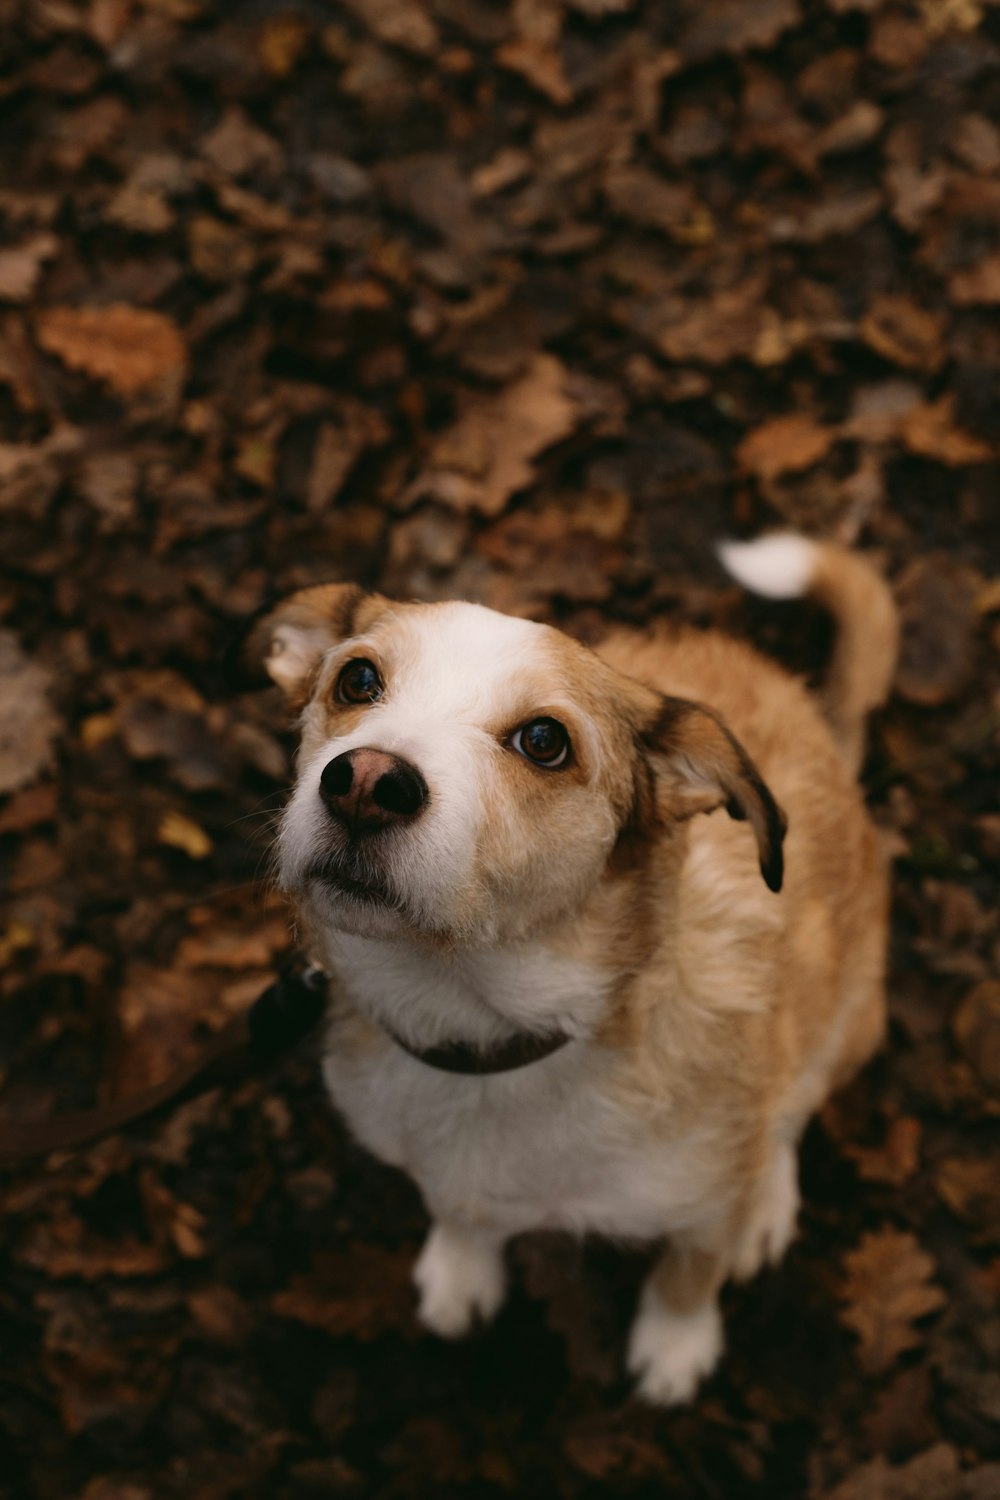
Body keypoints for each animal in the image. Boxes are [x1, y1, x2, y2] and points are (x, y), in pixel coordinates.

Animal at [256, 537, 899, 1404]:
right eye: (357, 680)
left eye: (544, 741)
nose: (364, 784)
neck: (487, 1040)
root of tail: (824, 726)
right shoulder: (447, 1170)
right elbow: (461, 1211)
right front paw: (461, 1268)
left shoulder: (701, 1209)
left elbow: (690, 1271)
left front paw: (675, 1347)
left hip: (850, 1017)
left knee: (796, 1103)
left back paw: (767, 1200)